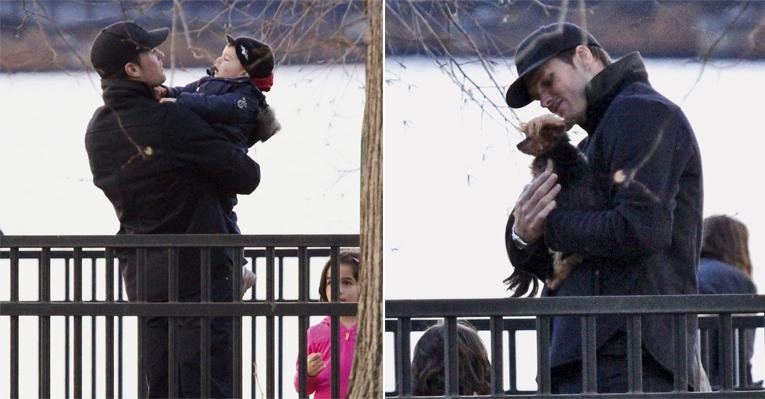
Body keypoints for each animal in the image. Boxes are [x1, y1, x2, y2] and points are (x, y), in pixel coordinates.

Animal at [504, 114, 604, 296]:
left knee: (562, 265)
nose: (518, 145)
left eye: (529, 137)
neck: (557, 148)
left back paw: (554, 280)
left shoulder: (540, 177)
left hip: (558, 249)